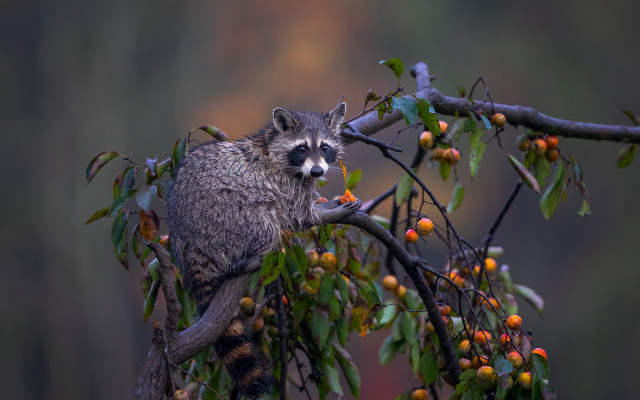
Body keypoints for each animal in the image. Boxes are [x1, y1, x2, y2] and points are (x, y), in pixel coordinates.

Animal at [166, 102, 361, 398]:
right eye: (302, 148)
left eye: (325, 147)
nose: (317, 172)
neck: (271, 145)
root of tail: (191, 246)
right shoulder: (283, 183)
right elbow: (298, 217)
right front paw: (331, 211)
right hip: (229, 217)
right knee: (265, 215)